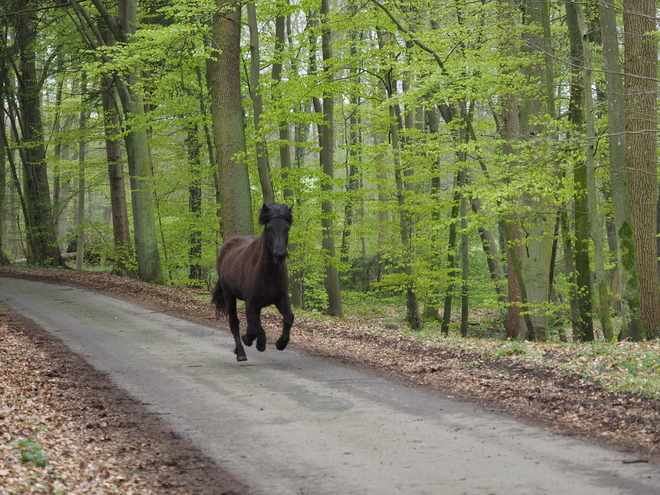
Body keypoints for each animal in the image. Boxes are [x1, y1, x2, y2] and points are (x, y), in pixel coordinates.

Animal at [211, 203, 294, 362]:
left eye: (287, 228)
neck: (268, 272)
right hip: (229, 295)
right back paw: (241, 352)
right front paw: (248, 340)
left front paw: (280, 343)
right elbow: (251, 330)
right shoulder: (250, 301)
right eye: (269, 228)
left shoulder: (281, 298)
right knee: (235, 323)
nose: (279, 255)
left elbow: (288, 318)